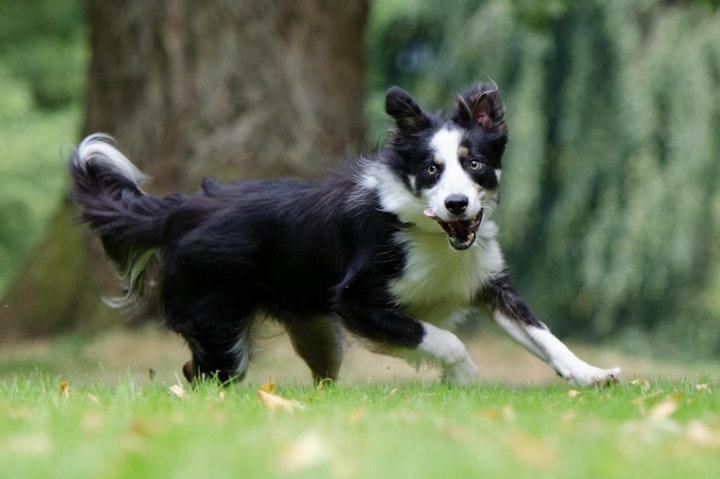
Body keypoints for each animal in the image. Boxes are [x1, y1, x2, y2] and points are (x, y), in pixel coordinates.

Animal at [67, 84, 620, 388]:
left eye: (475, 165)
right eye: (431, 169)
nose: (457, 205)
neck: (427, 232)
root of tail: (181, 210)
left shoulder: (487, 283)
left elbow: (544, 336)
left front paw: (591, 374)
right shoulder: (357, 301)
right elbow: (442, 338)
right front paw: (463, 377)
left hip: (315, 331)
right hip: (218, 325)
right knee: (199, 374)